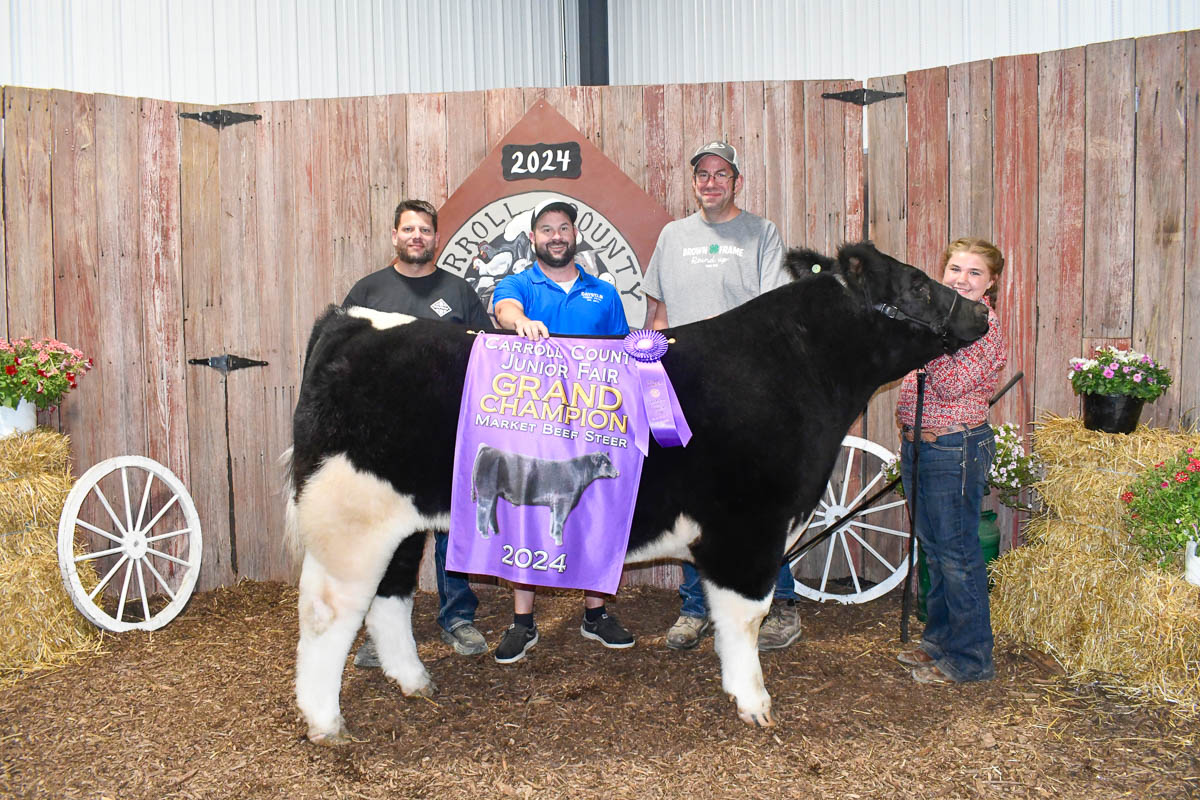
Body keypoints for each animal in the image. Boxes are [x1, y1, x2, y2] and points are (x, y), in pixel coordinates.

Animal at [472, 444, 619, 545]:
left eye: (610, 461)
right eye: (605, 463)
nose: (617, 472)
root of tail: (487, 448)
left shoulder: (554, 504)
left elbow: (553, 521)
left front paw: (553, 537)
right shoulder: (563, 501)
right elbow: (559, 521)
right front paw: (559, 542)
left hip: (494, 494)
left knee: (491, 511)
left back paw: (495, 532)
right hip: (486, 493)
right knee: (483, 511)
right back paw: (484, 533)